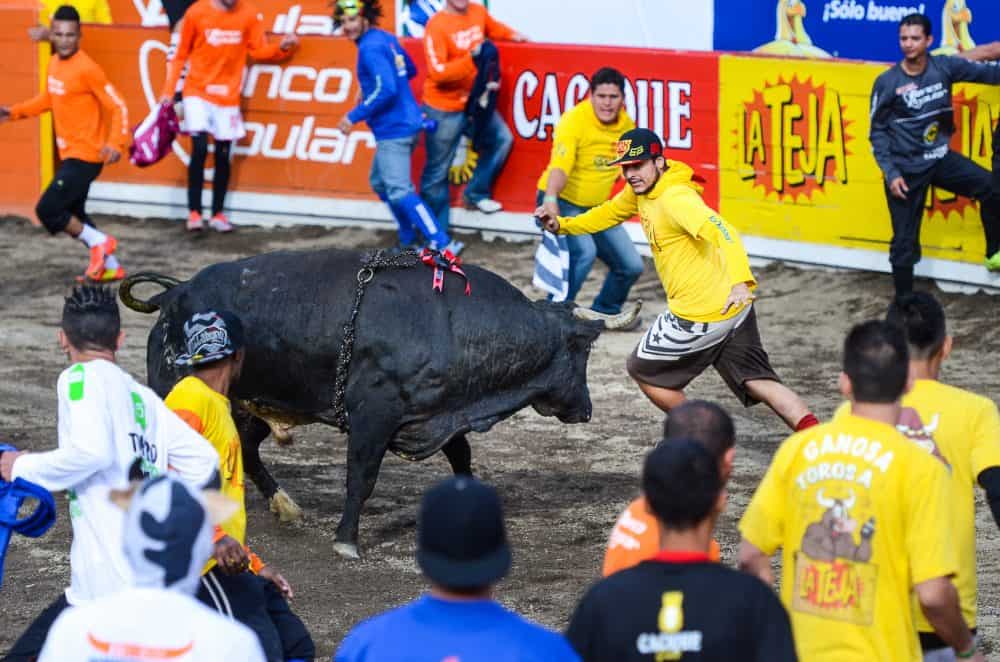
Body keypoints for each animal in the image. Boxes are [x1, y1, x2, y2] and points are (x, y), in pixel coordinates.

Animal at [121, 249, 636, 560]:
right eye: (583, 350)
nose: (587, 409)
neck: (448, 320)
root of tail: (175, 293)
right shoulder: (374, 416)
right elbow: (362, 478)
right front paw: (347, 540)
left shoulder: (438, 413)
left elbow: (461, 456)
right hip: (175, 391)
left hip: (255, 400)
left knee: (246, 446)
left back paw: (285, 506)